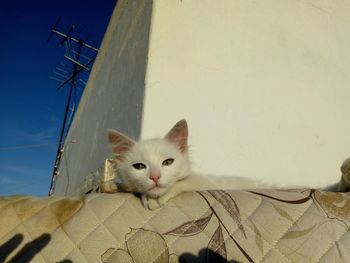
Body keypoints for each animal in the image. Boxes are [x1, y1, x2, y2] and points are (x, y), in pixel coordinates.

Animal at [107, 119, 350, 210]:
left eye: (168, 162)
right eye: (140, 167)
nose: (156, 177)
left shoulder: (207, 182)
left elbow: (187, 181)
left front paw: (156, 197)